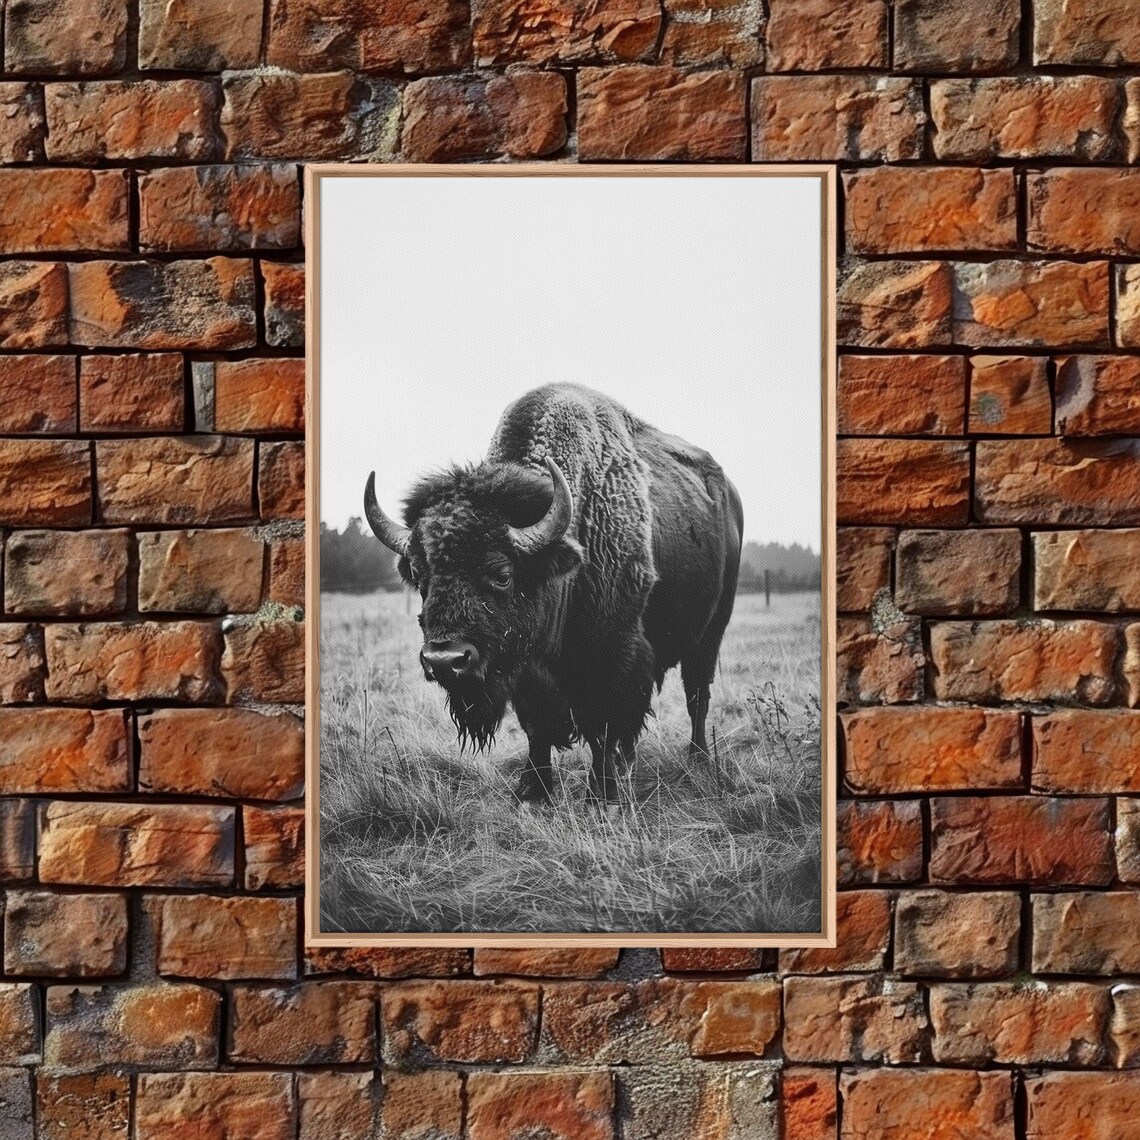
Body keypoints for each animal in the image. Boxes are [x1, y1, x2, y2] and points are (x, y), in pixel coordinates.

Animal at [364, 383, 743, 804]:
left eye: (502, 574)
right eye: (419, 574)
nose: (445, 661)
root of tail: (729, 493)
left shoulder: (611, 654)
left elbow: (601, 726)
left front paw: (602, 793)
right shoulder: (524, 670)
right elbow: (537, 728)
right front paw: (534, 789)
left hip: (712, 632)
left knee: (697, 696)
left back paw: (697, 758)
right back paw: (630, 763)